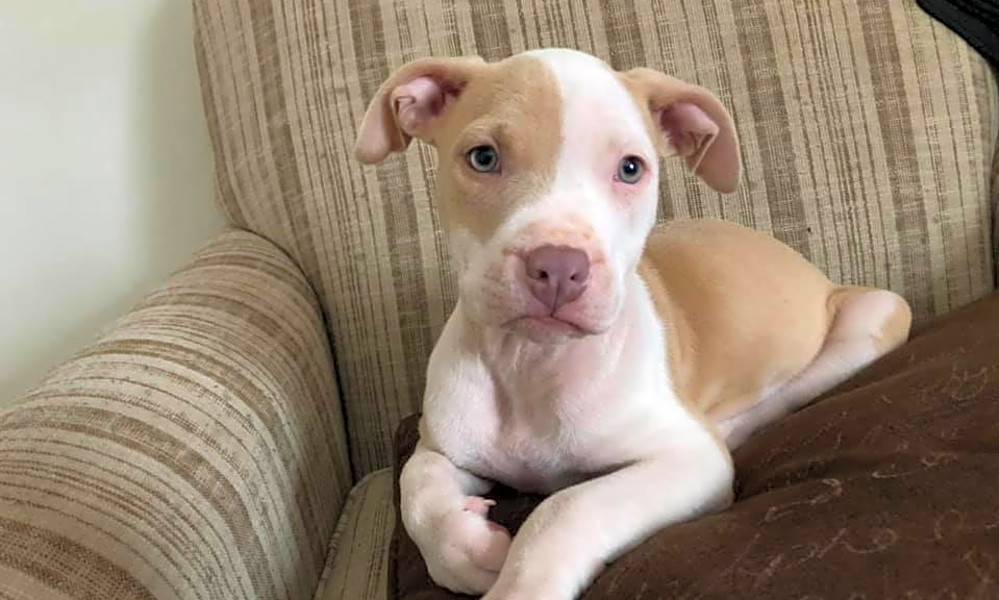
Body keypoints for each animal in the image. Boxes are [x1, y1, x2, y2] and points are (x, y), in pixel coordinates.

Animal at [354, 50, 916, 600]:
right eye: (483, 158)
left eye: (630, 169)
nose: (559, 266)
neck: (533, 363)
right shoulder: (440, 441)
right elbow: (415, 484)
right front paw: (467, 545)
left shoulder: (685, 463)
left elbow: (566, 507)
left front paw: (521, 581)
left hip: (874, 317)